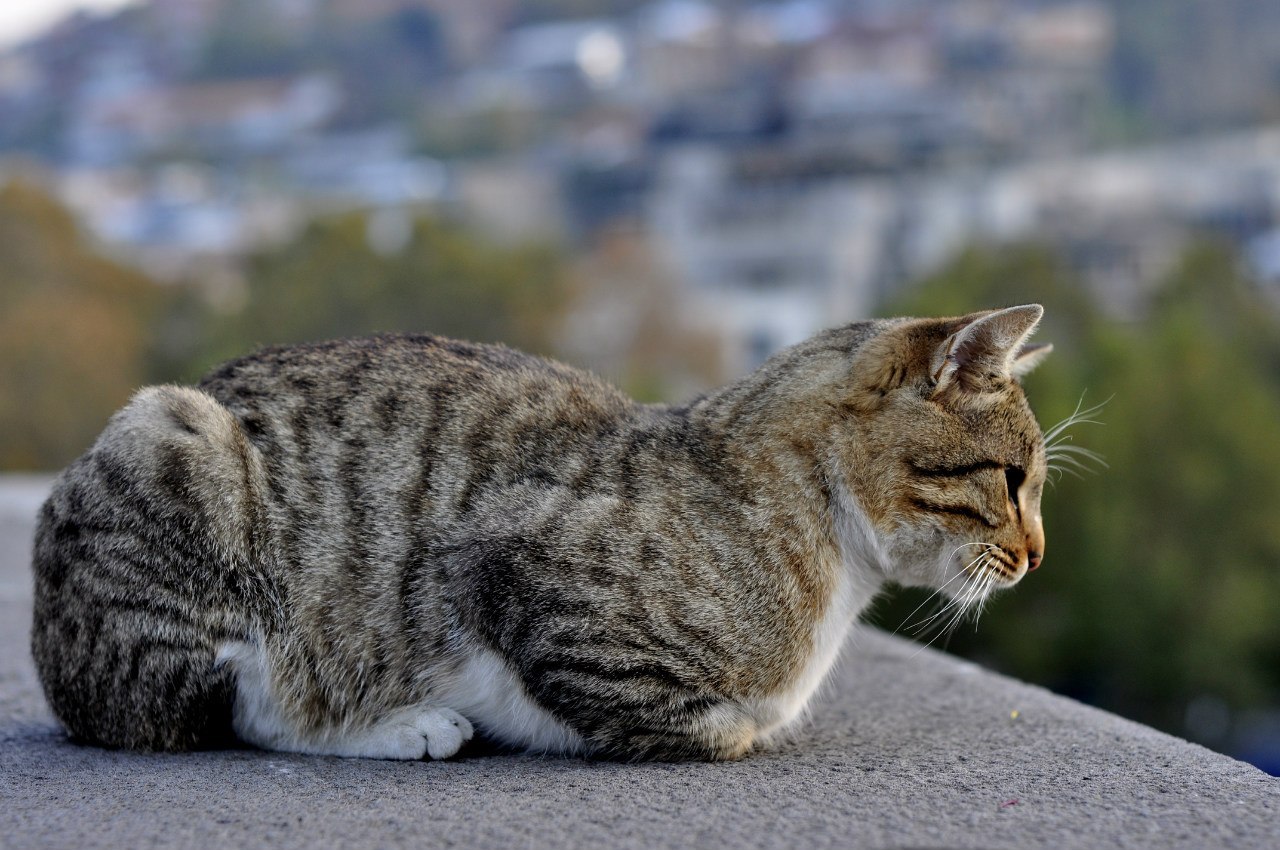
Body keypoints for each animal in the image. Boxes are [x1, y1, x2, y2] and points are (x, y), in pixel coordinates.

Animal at [30, 302, 1049, 757]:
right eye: (1013, 479)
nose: (1037, 555)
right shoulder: (507, 565)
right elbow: (718, 727)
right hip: (177, 441)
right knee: (229, 706)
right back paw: (396, 726)